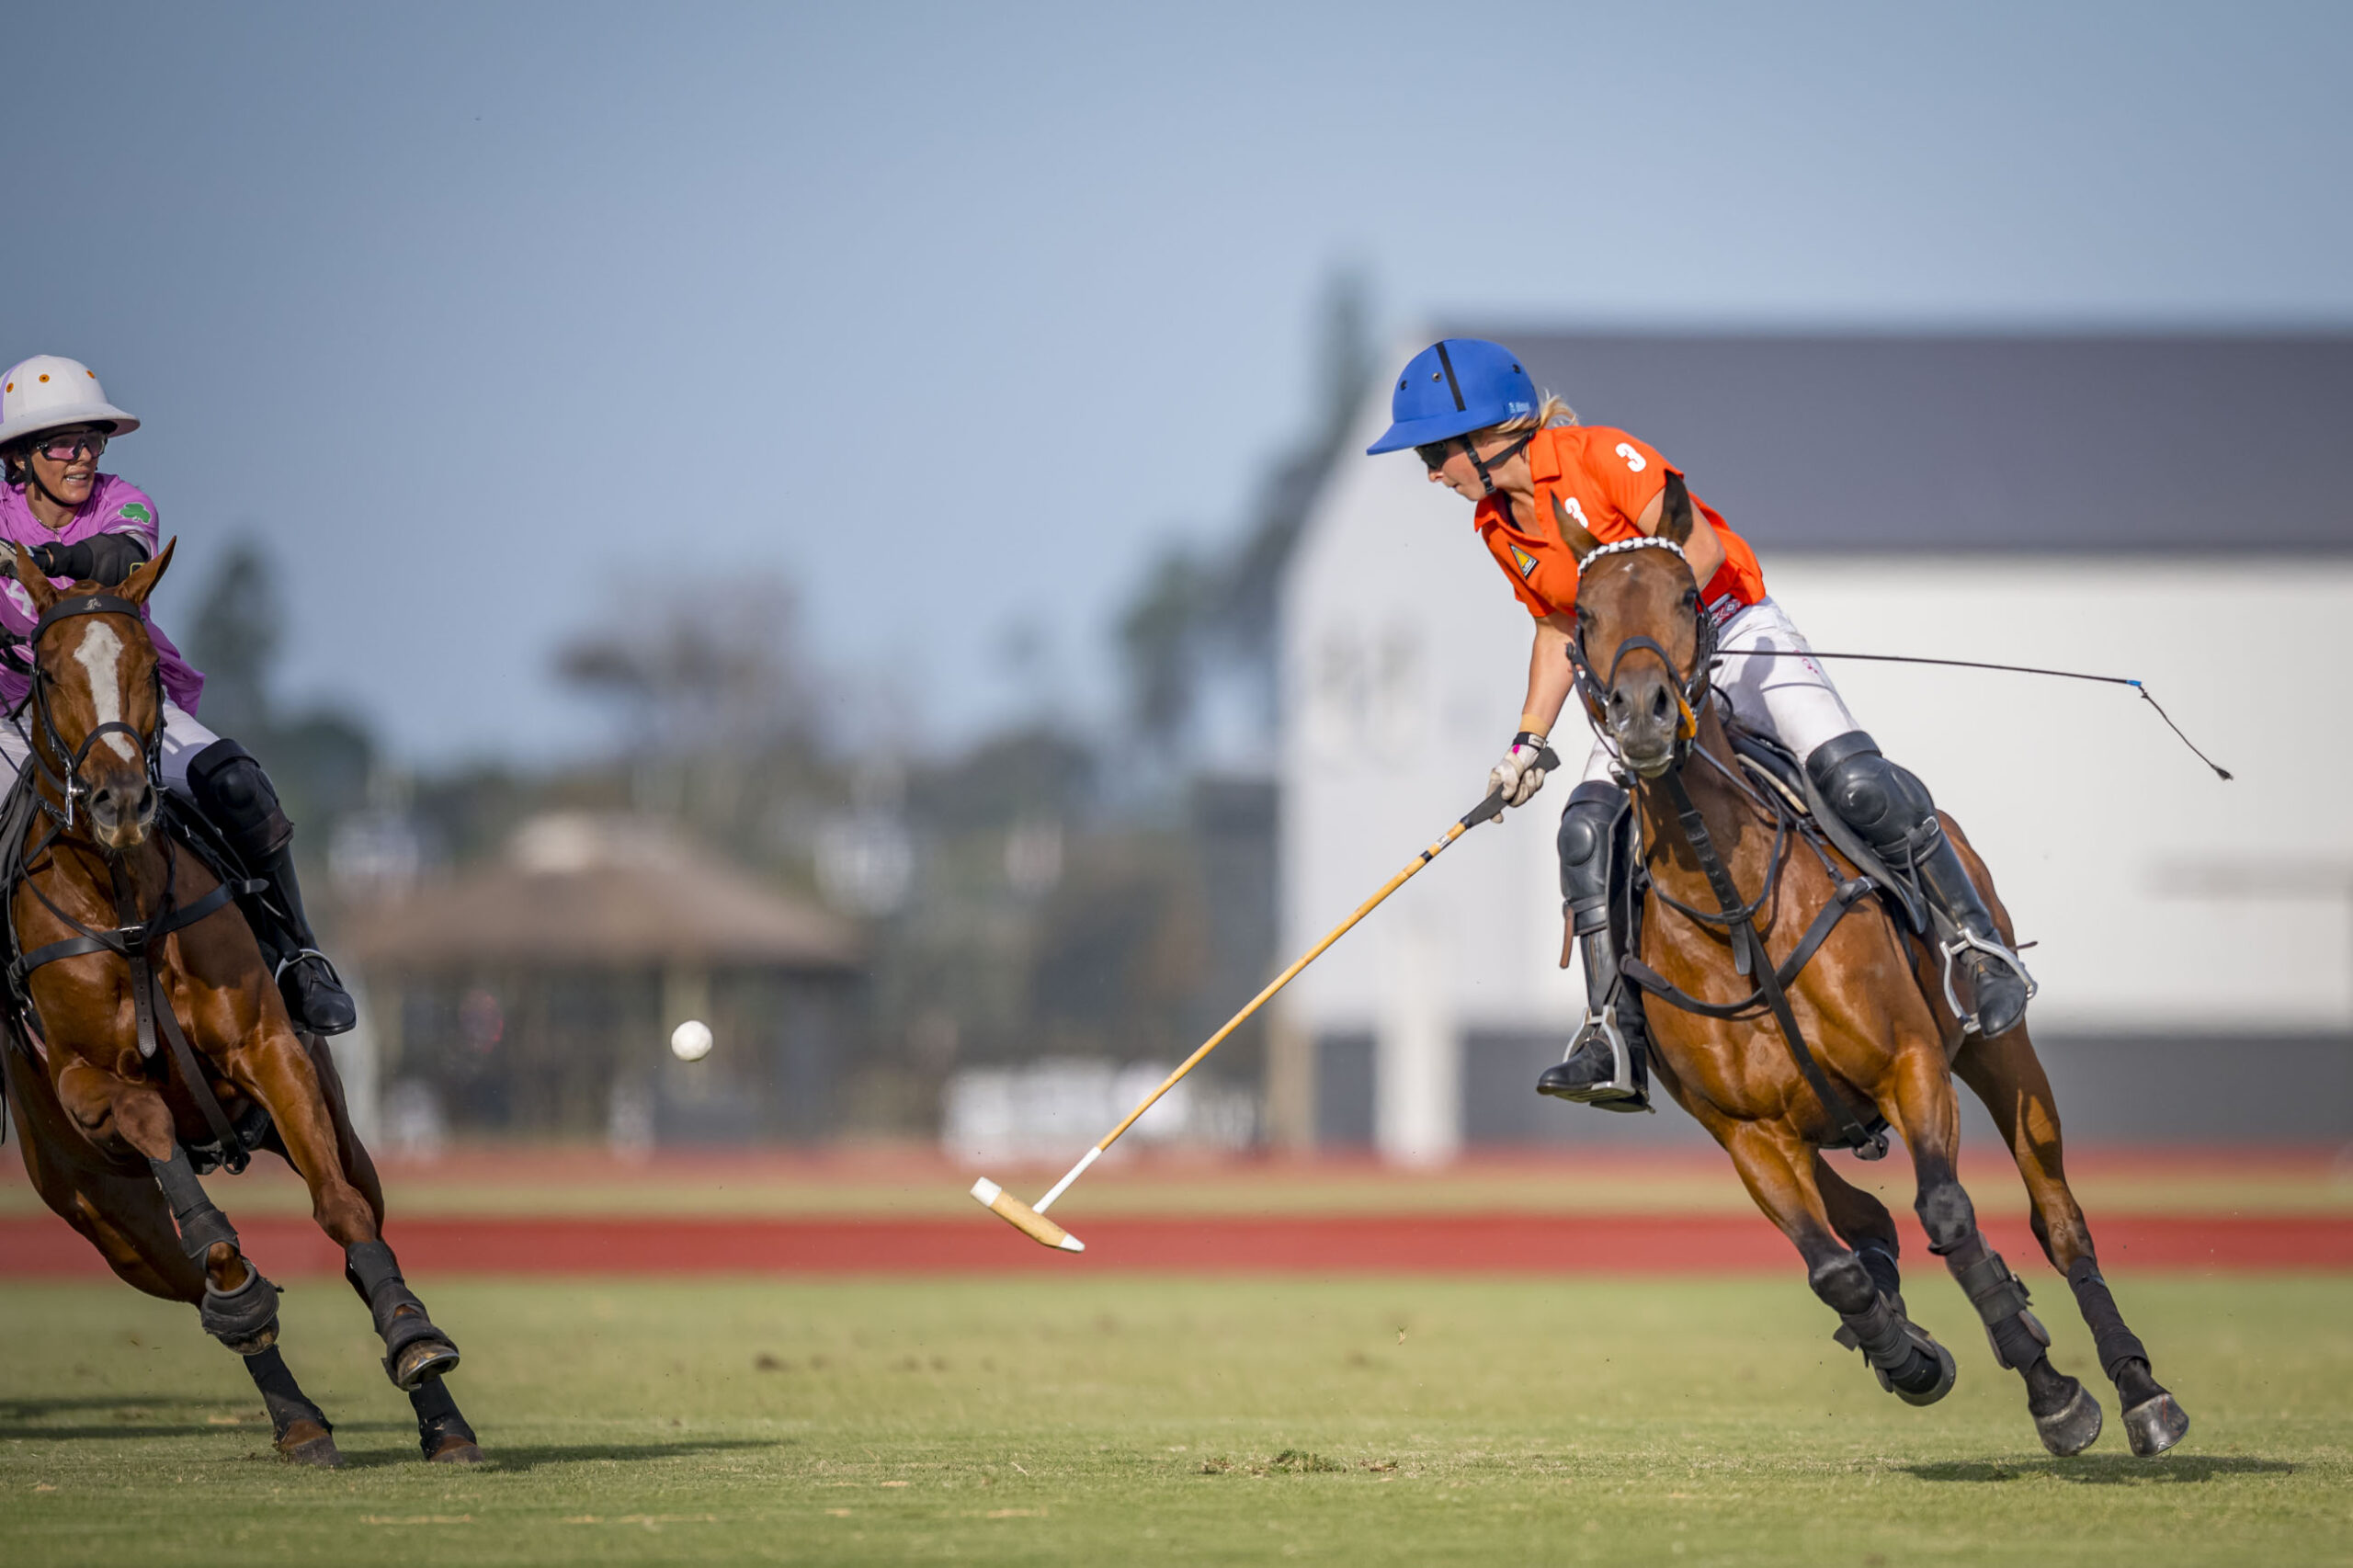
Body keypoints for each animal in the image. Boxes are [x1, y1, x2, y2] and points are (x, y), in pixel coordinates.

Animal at [0, 540, 481, 1467]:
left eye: (150, 663)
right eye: (43, 669)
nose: (120, 802)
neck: (124, 902)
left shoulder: (270, 1049)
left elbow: (341, 1211)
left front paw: (415, 1342)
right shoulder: (85, 1082)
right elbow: (179, 1176)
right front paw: (240, 1286)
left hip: (331, 1118)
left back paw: (437, 1421)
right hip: (99, 1211)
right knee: (196, 1280)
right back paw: (295, 1416)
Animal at [1553, 490, 2189, 1459]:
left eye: (1687, 598)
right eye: (1583, 615)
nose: (1641, 718)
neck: (1732, 909)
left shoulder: (1911, 1065)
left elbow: (1950, 1214)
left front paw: (2055, 1395)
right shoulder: (1746, 1133)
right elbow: (1835, 1271)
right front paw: (1915, 1358)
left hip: (2001, 1053)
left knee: (2058, 1216)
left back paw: (2140, 1390)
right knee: (1867, 1226)